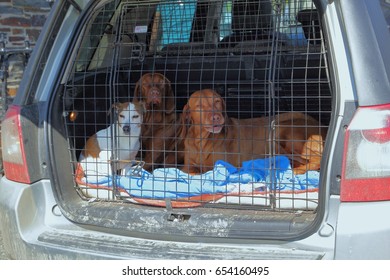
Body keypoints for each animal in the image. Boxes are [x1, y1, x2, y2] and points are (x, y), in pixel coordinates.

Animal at [181, 88, 328, 174]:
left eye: (217, 101)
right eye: (199, 106)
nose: (217, 117)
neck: (201, 140)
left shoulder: (220, 166)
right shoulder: (188, 164)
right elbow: (188, 169)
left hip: (279, 131)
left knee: (316, 160)